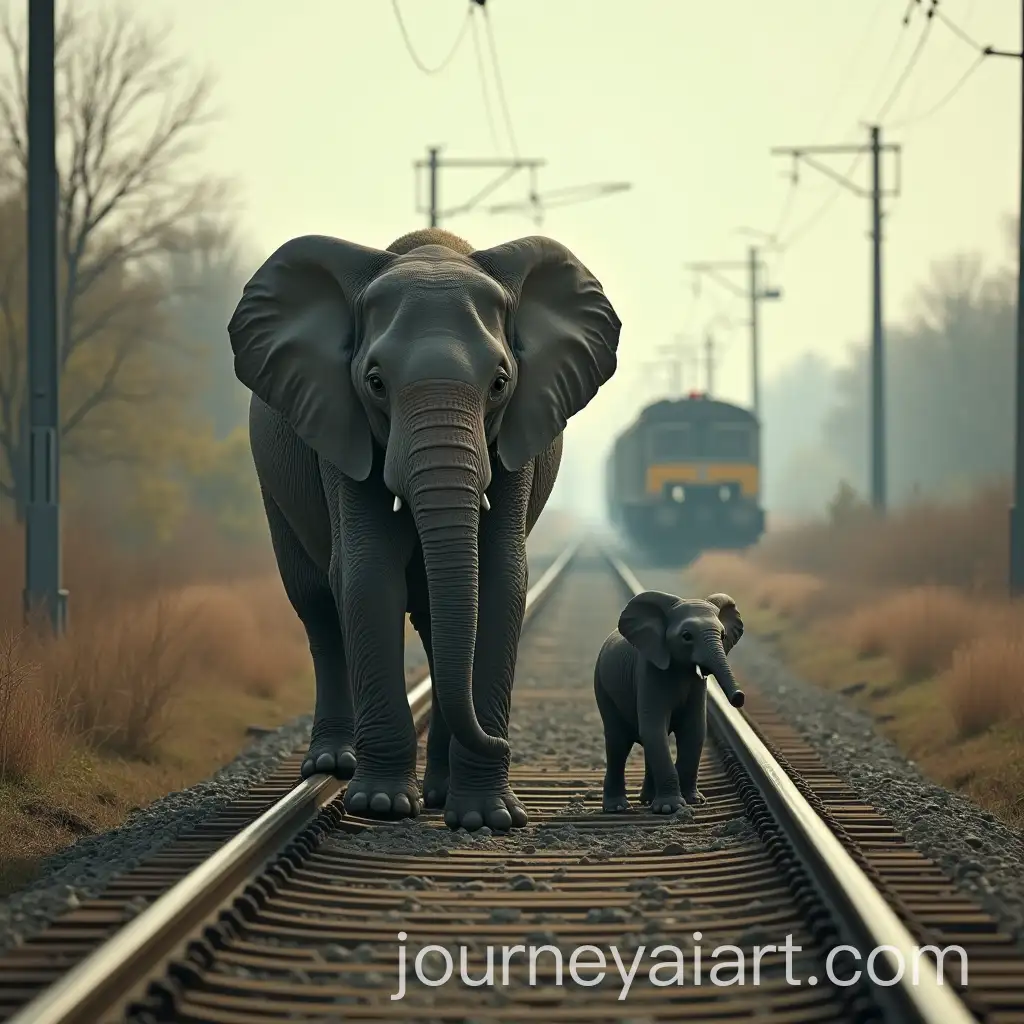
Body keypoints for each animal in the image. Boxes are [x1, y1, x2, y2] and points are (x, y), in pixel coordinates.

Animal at [228, 225, 621, 831]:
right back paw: (333, 765)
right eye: (375, 383)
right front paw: (382, 805)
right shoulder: (342, 430)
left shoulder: (517, 440)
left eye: (500, 383)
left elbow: (499, 581)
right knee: (316, 604)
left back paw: (438, 790)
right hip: (275, 484)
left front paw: (486, 818)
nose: (507, 745)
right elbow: (367, 576)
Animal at [593, 591, 744, 814]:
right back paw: (617, 808)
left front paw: (694, 801)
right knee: (618, 743)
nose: (739, 697)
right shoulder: (648, 672)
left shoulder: (696, 685)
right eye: (687, 636)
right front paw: (669, 808)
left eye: (723, 636)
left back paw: (647, 800)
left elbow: (694, 731)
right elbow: (655, 729)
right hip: (602, 687)